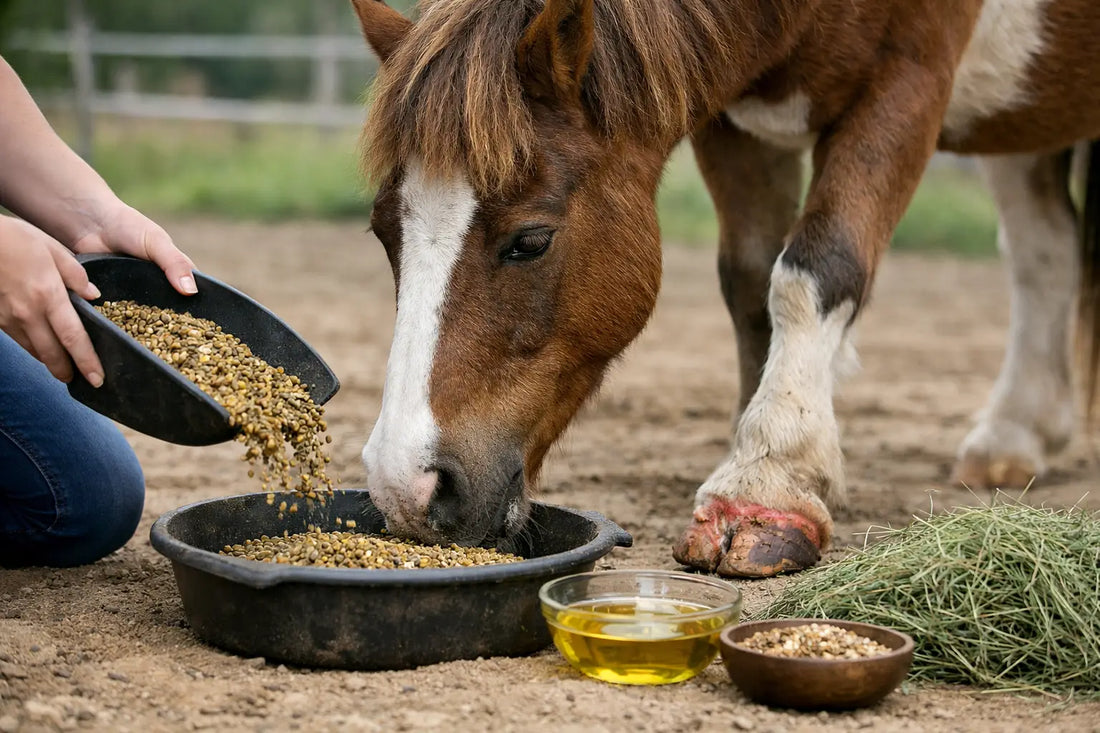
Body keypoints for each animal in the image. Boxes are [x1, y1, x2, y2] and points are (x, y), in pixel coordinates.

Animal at [348, 0, 1100, 577]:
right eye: (383, 232)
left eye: (530, 240)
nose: (406, 489)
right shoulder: (734, 119)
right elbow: (752, 280)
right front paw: (760, 438)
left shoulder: (909, 79)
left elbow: (815, 266)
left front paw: (770, 482)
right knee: (1043, 252)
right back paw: (1016, 432)